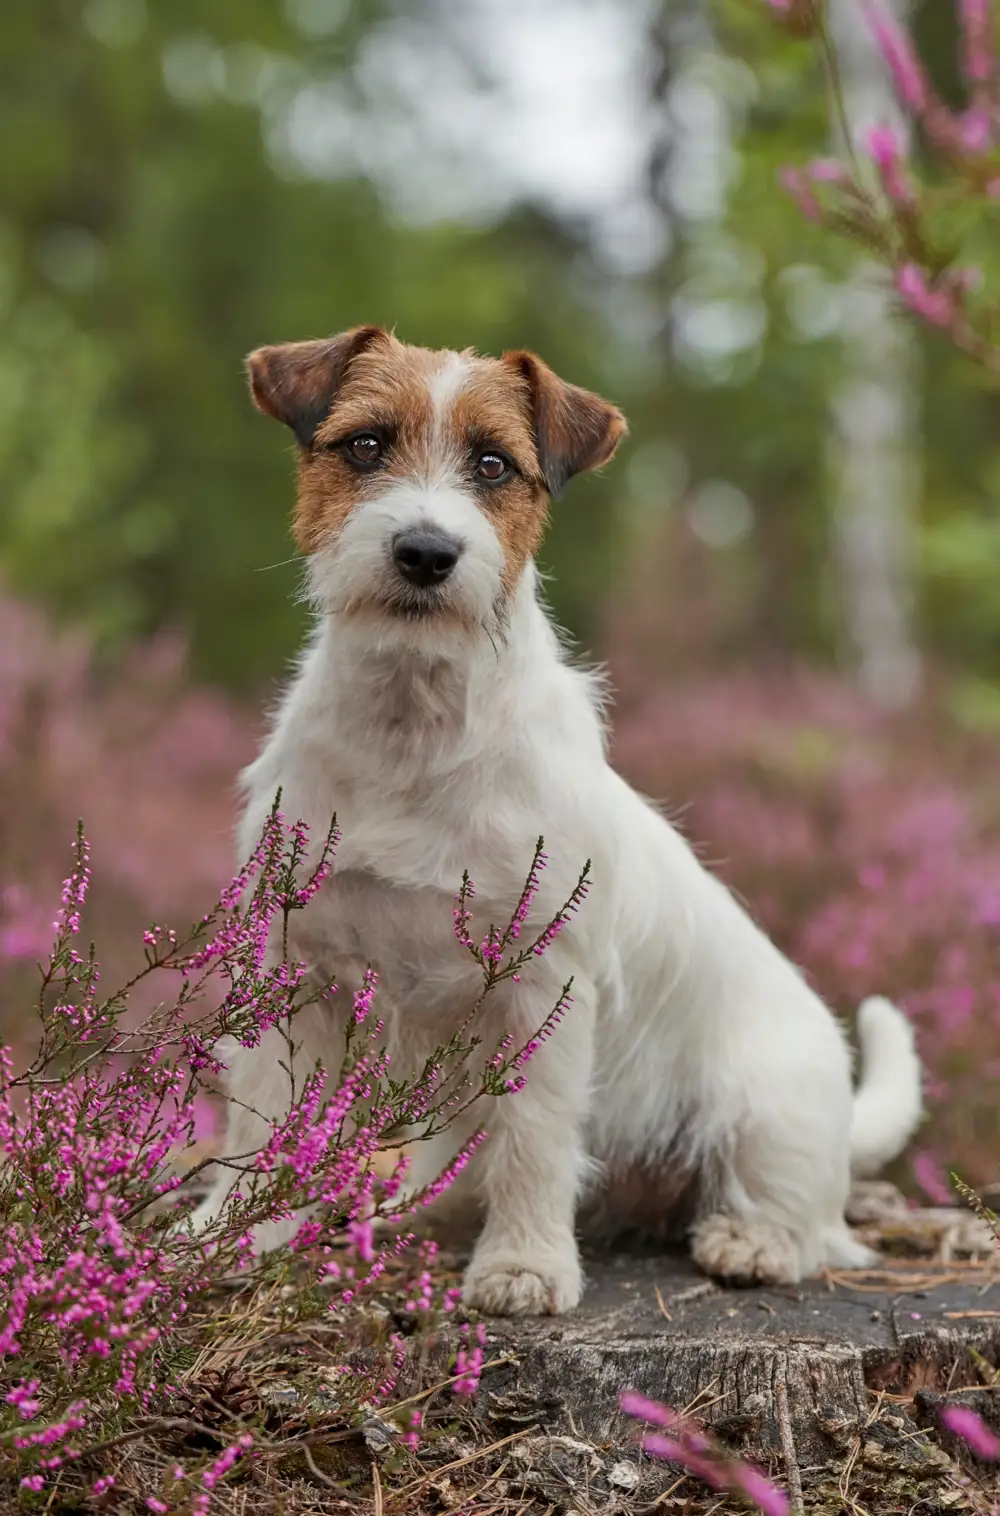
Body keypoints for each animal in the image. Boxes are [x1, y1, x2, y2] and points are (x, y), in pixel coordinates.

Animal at [198, 328, 927, 1315]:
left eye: (493, 464)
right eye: (366, 446)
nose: (426, 551)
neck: (413, 724)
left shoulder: (545, 986)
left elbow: (534, 1138)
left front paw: (525, 1266)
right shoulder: (295, 964)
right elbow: (265, 1115)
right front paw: (236, 1233)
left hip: (769, 1112)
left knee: (803, 1216)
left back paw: (750, 1241)